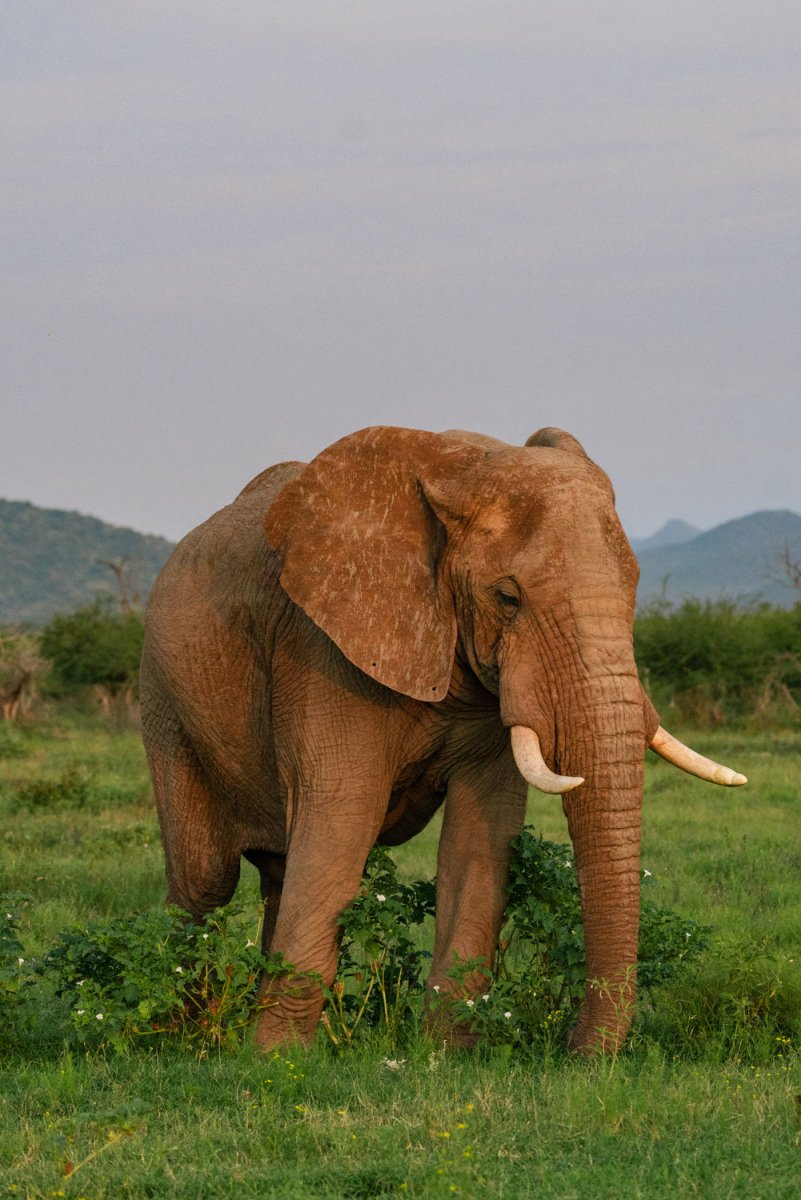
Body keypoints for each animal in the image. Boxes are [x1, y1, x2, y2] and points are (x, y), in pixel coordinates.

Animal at [139, 424, 743, 1051]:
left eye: (635, 589)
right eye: (507, 598)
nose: (577, 1054)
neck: (459, 470)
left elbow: (480, 836)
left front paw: (444, 1054)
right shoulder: (320, 647)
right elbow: (340, 818)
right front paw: (275, 1063)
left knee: (278, 873)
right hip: (164, 699)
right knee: (204, 880)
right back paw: (183, 1034)